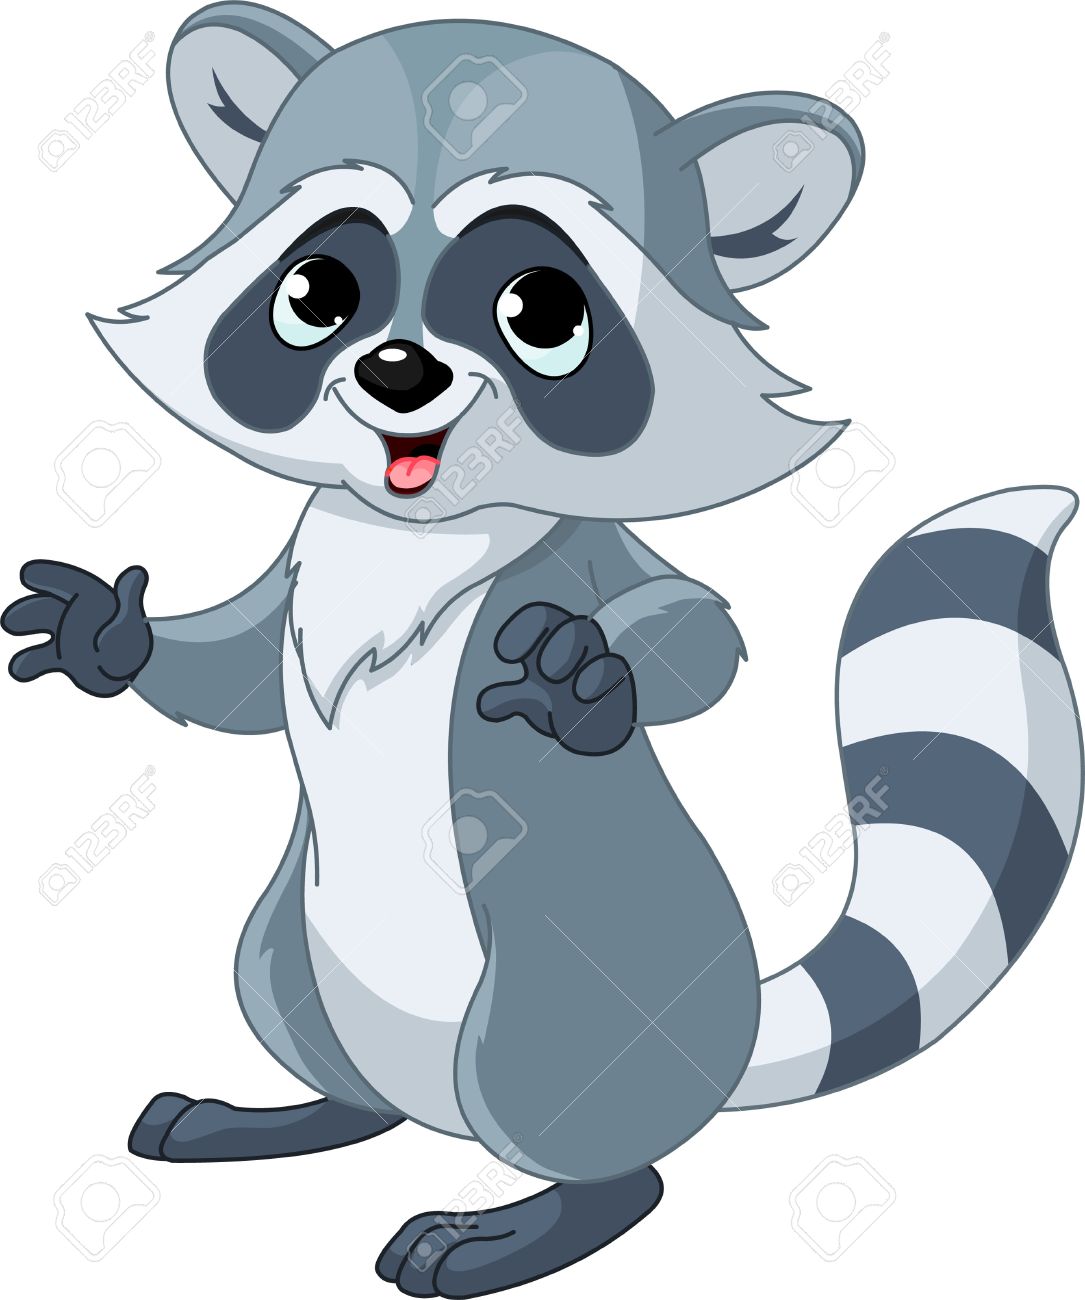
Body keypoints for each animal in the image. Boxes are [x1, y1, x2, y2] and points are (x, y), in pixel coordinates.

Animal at [5, 7, 1081, 1295]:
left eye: (541, 311)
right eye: (317, 291)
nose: (398, 371)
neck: (416, 525)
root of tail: (723, 1048)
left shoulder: (581, 553)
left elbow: (687, 628)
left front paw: (584, 687)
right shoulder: (302, 559)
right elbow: (238, 676)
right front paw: (108, 636)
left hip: (565, 1000)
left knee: (594, 1133)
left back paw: (531, 1220)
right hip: (290, 950)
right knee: (308, 1024)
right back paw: (301, 1113)